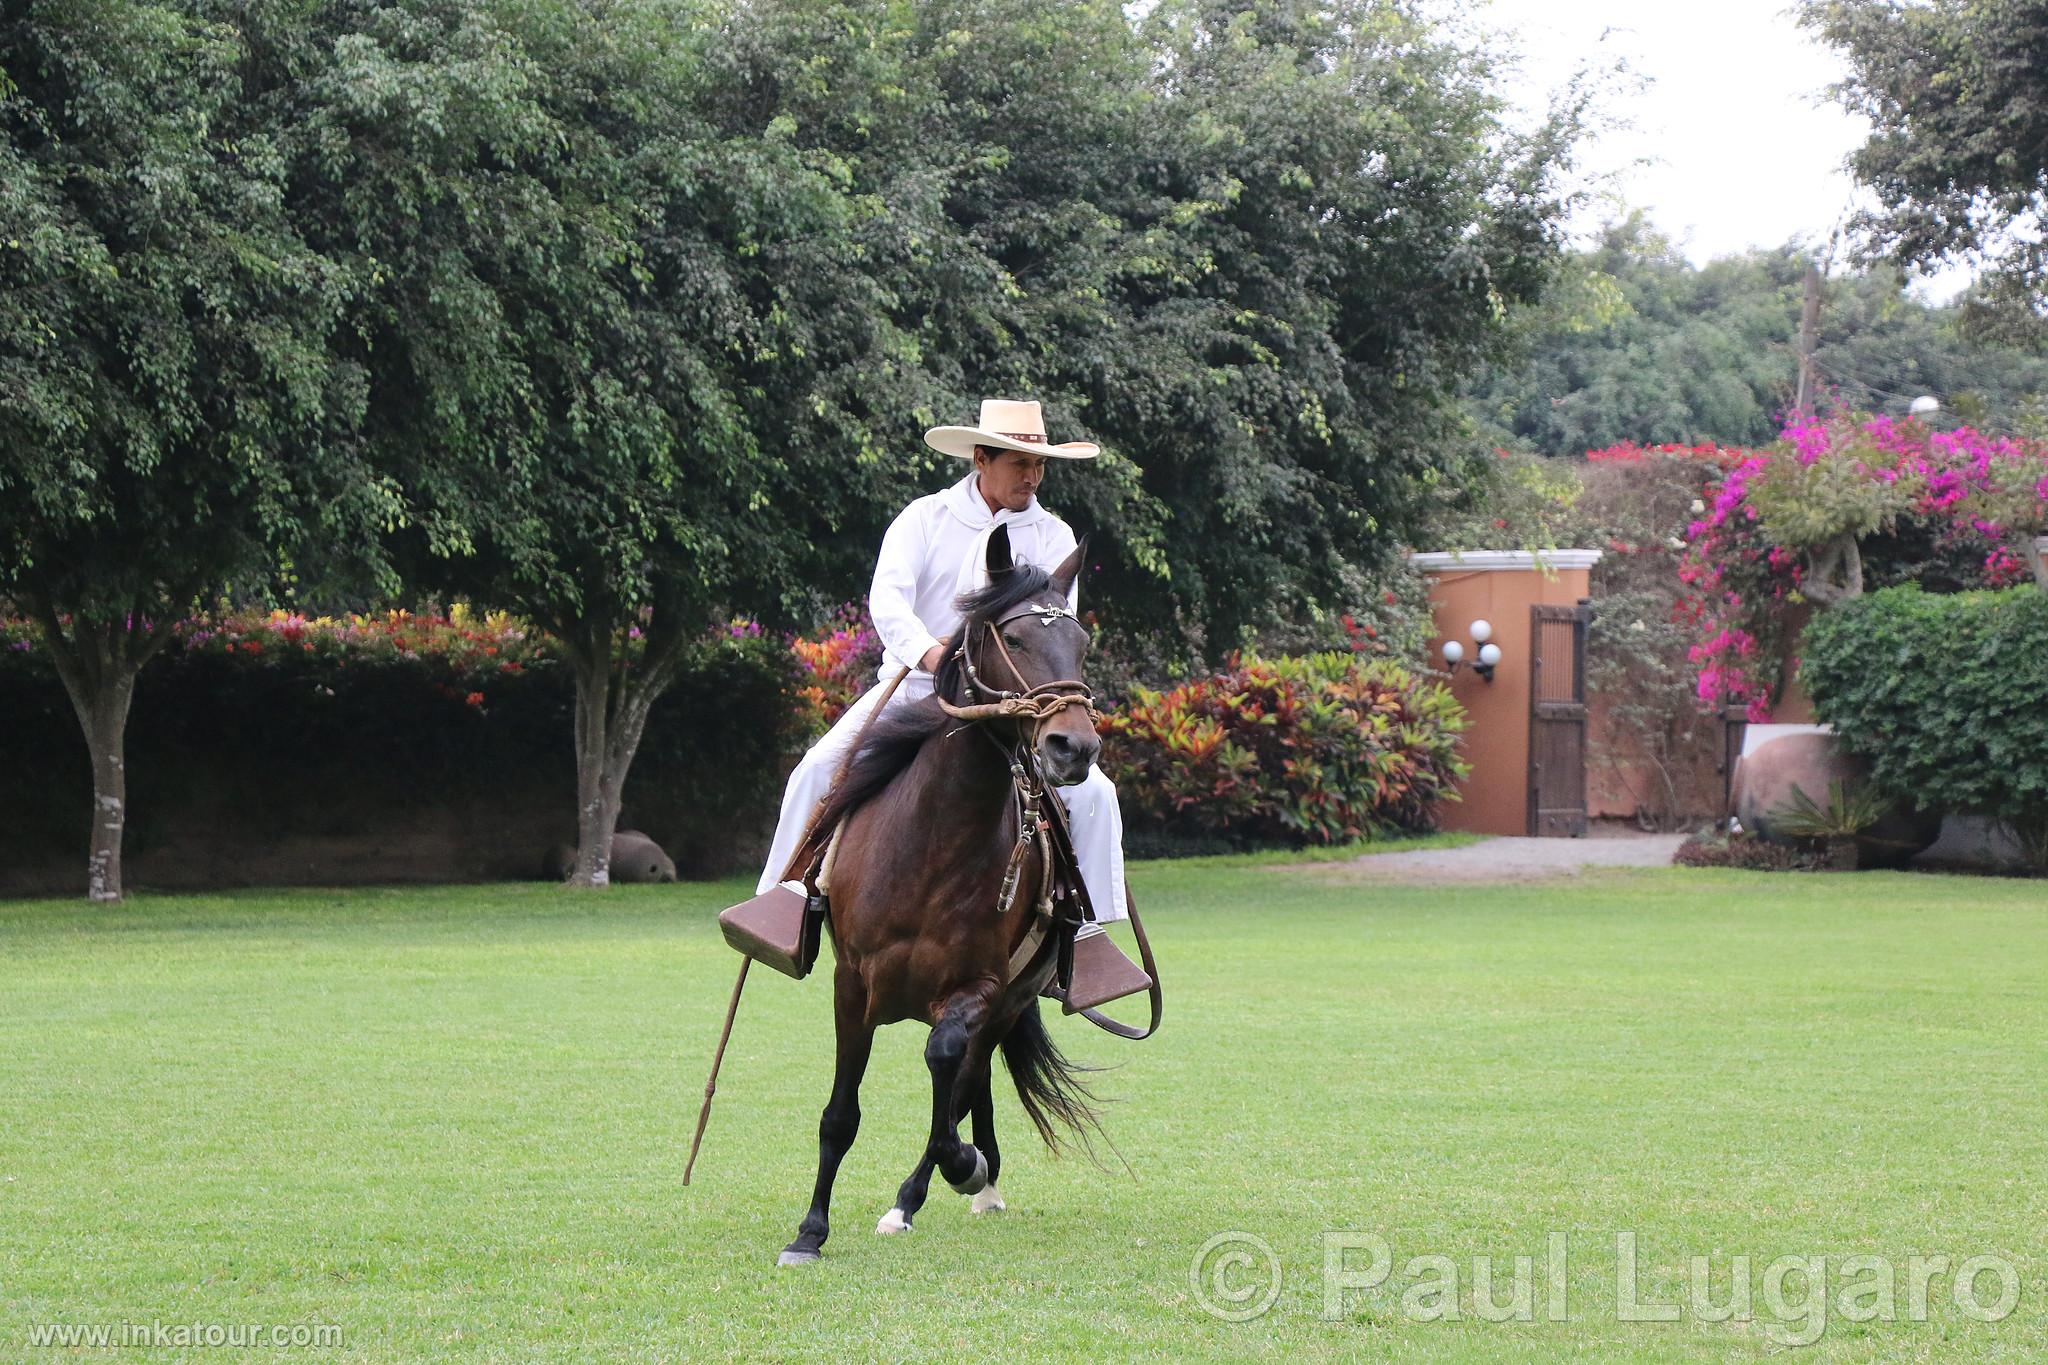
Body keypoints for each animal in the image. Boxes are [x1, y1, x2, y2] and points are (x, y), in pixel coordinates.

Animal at [778, 527, 1105, 1268]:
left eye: (1081, 642)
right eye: (1014, 638)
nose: (1073, 746)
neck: (930, 846)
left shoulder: (980, 987)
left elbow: (944, 1069)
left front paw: (964, 1167)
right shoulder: (851, 983)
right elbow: (840, 1114)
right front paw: (810, 1230)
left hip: (1007, 1001)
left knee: (963, 1077)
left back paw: (945, 1184)